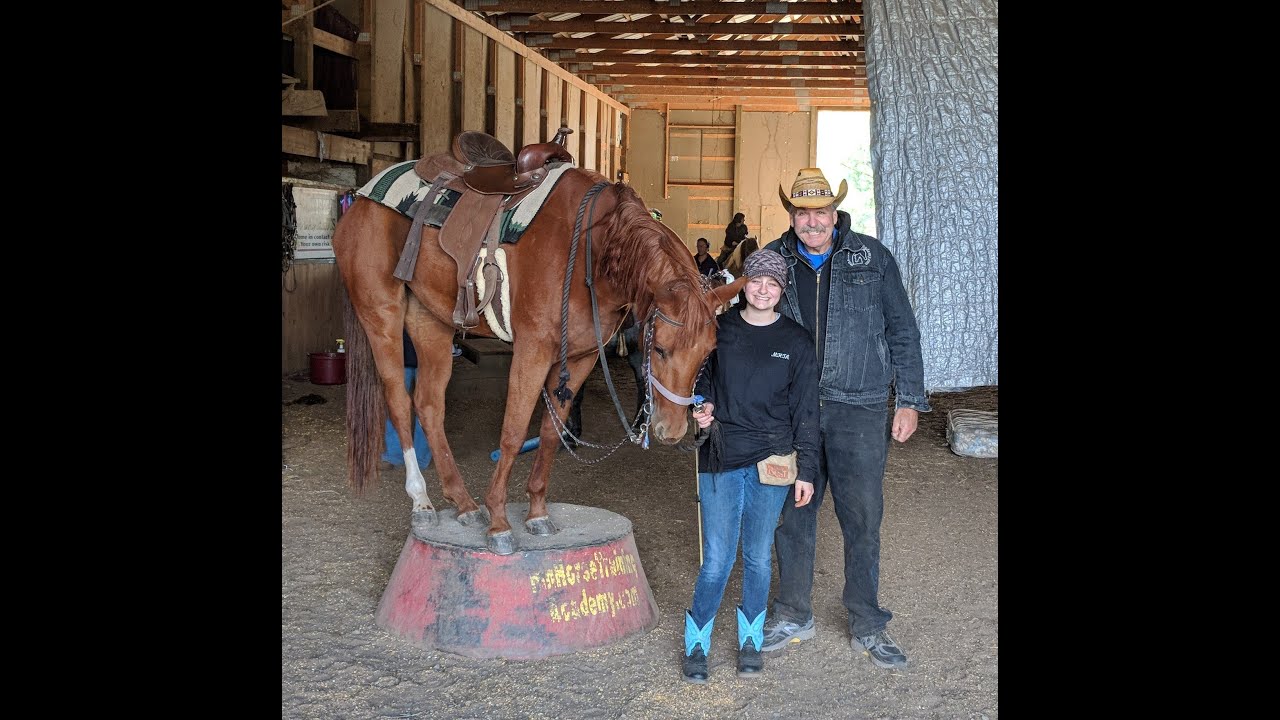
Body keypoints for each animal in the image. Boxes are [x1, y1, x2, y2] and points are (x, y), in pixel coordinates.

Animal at [332, 157, 744, 554]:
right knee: (399, 402)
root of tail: (363, 197)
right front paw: (499, 522)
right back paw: (422, 502)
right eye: (658, 348)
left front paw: (537, 513)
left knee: (429, 405)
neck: (592, 250)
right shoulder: (532, 351)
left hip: (430, 320)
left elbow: (550, 432)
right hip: (381, 315)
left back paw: (463, 503)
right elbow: (514, 432)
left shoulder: (580, 357)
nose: (671, 432)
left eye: (709, 353)